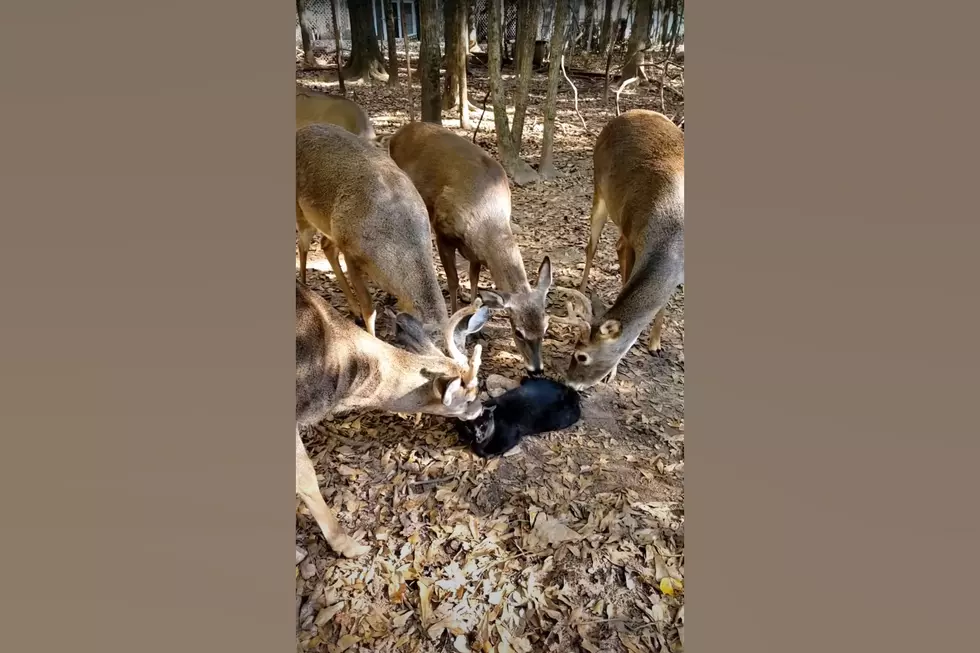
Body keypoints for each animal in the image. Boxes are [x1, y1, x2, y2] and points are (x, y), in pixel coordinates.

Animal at [294, 121, 448, 342]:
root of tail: (302, 130)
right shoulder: (350, 250)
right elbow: (369, 307)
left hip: (329, 224)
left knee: (325, 245)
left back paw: (352, 310)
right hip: (303, 212)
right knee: (303, 245)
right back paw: (306, 288)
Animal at [386, 122, 556, 374]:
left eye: (545, 328)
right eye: (518, 332)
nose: (536, 369)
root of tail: (400, 132)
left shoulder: (476, 254)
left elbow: (474, 282)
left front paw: (477, 327)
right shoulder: (443, 235)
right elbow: (454, 281)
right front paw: (455, 319)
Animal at [556, 109, 684, 390]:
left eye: (582, 356)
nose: (569, 383)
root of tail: (626, 113)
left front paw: (655, 343)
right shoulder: (632, 237)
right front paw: (613, 372)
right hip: (599, 188)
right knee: (591, 246)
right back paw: (581, 289)